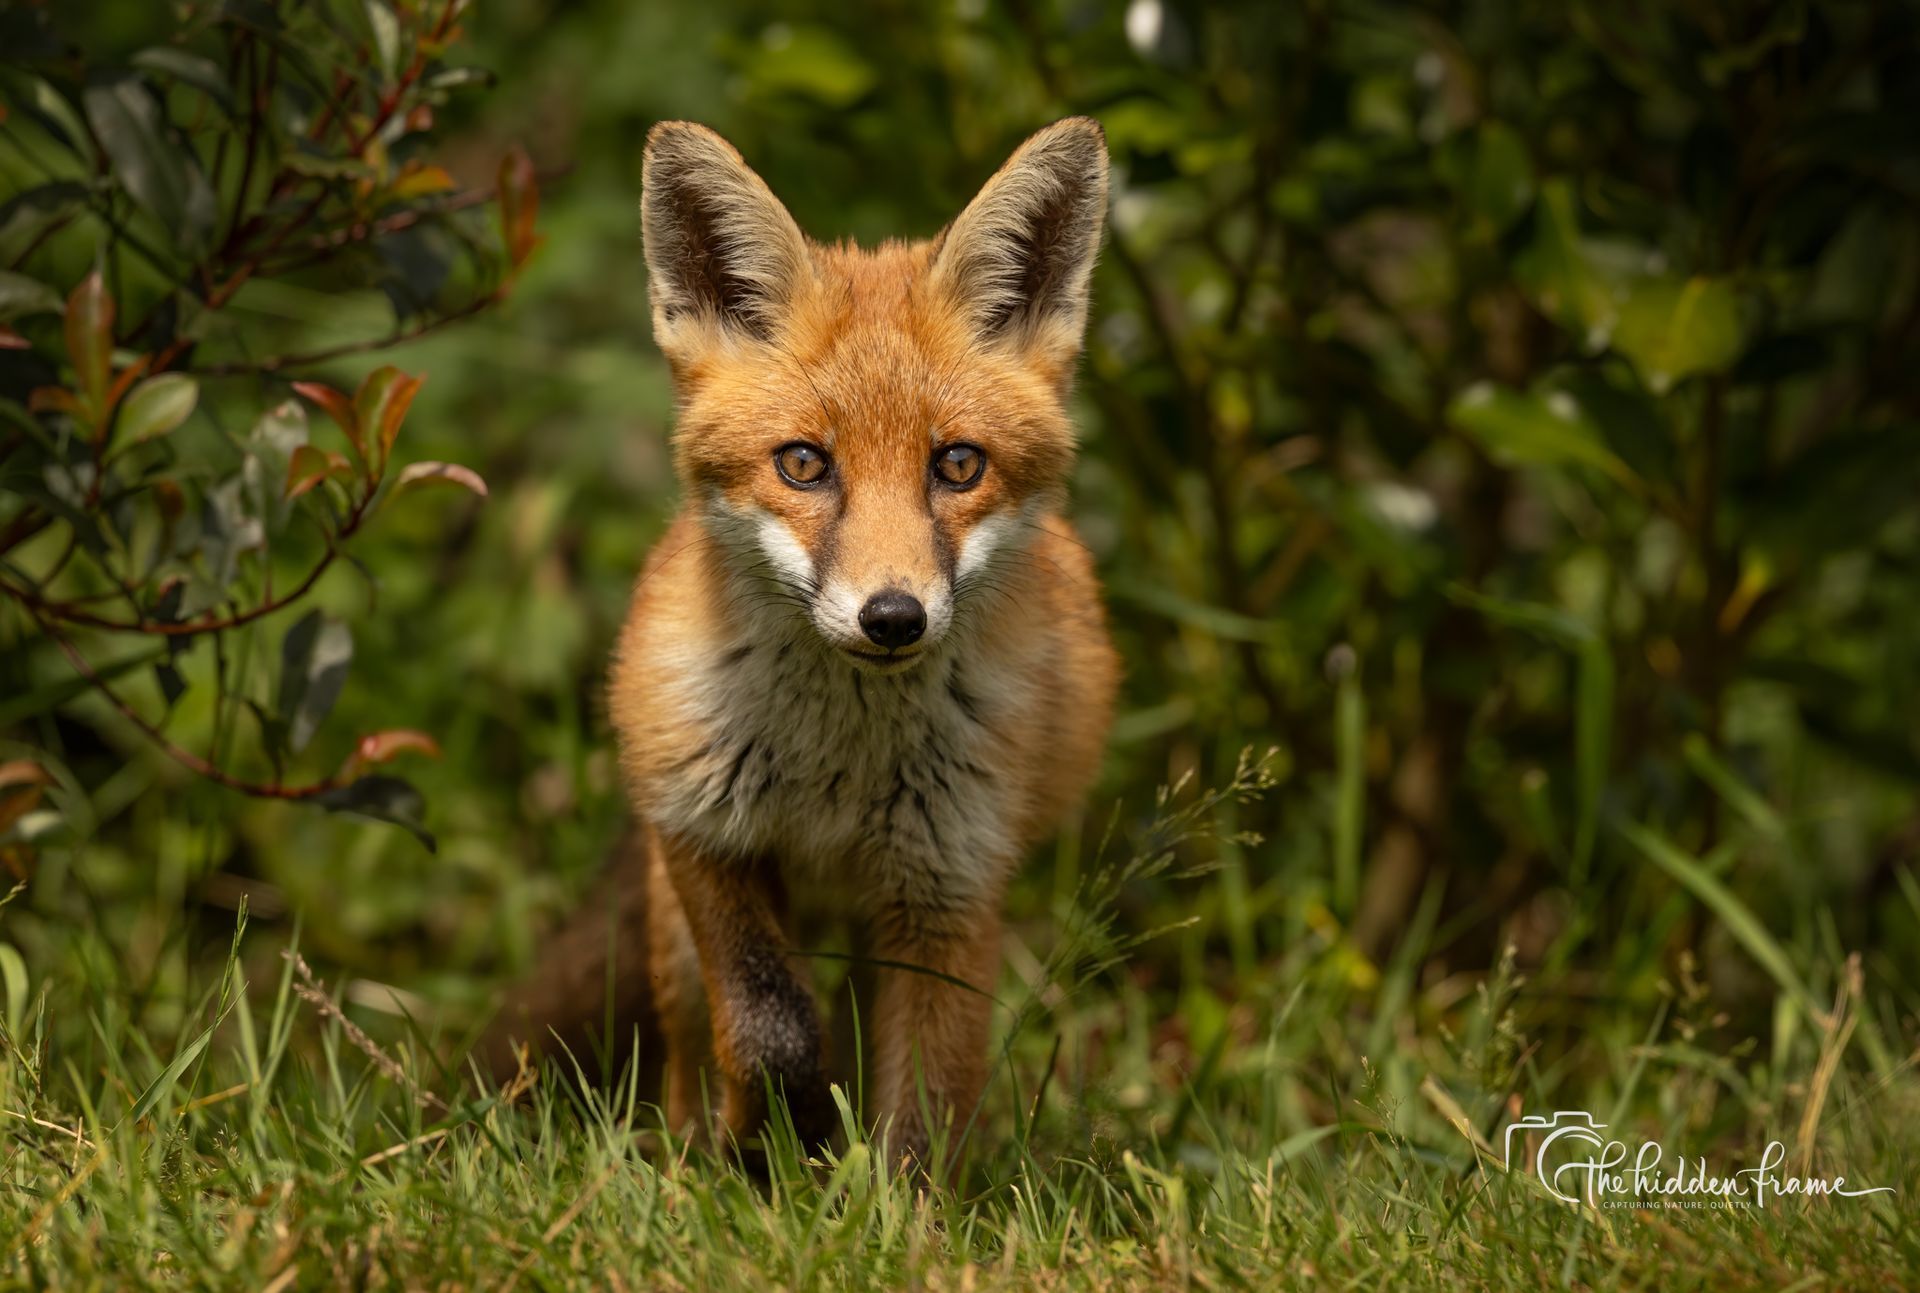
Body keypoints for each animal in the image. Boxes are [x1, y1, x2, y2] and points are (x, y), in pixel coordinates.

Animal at [483, 118, 1118, 1168]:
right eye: (804, 464)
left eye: (958, 464)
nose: (893, 616)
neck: (837, 773)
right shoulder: (704, 834)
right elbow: (769, 1024)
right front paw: (768, 1141)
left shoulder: (951, 885)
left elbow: (926, 1104)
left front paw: (890, 1201)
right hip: (672, 922)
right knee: (692, 1045)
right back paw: (695, 1159)